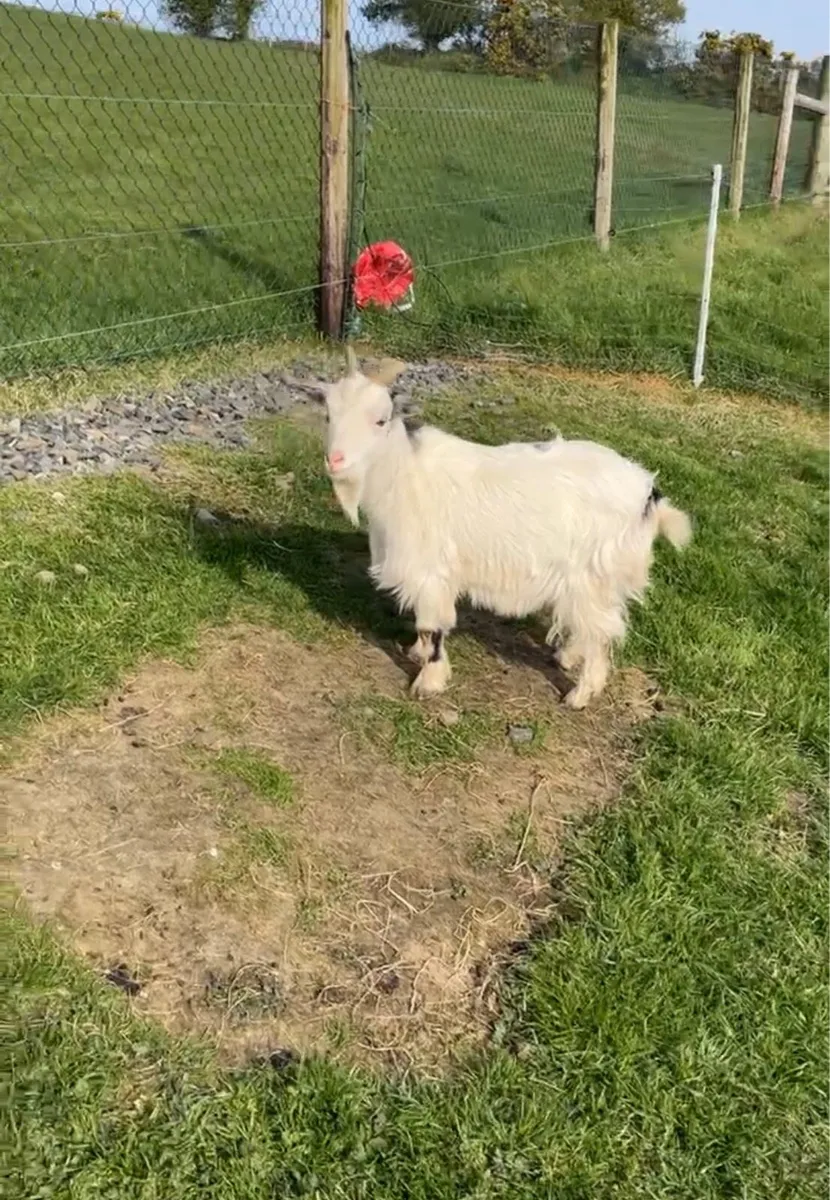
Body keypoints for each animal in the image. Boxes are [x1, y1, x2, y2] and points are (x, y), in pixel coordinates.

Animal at [300, 350, 691, 709]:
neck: (403, 473)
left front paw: (429, 680)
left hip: (593, 572)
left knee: (601, 632)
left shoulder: (431, 572)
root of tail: (649, 495)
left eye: (380, 420)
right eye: (328, 415)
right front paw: (416, 654)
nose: (336, 460)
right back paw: (567, 657)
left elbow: (432, 625)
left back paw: (580, 694)